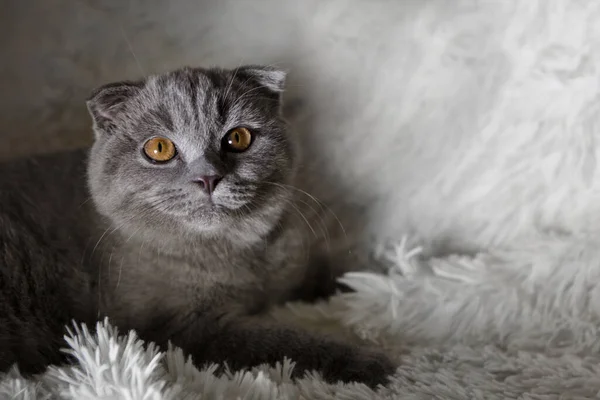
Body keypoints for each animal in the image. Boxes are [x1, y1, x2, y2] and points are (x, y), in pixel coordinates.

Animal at [0, 65, 396, 388]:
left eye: (238, 138)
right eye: (159, 148)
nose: (208, 177)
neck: (234, 253)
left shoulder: (288, 266)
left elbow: (321, 268)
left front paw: (382, 270)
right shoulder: (188, 329)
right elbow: (283, 343)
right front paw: (370, 361)